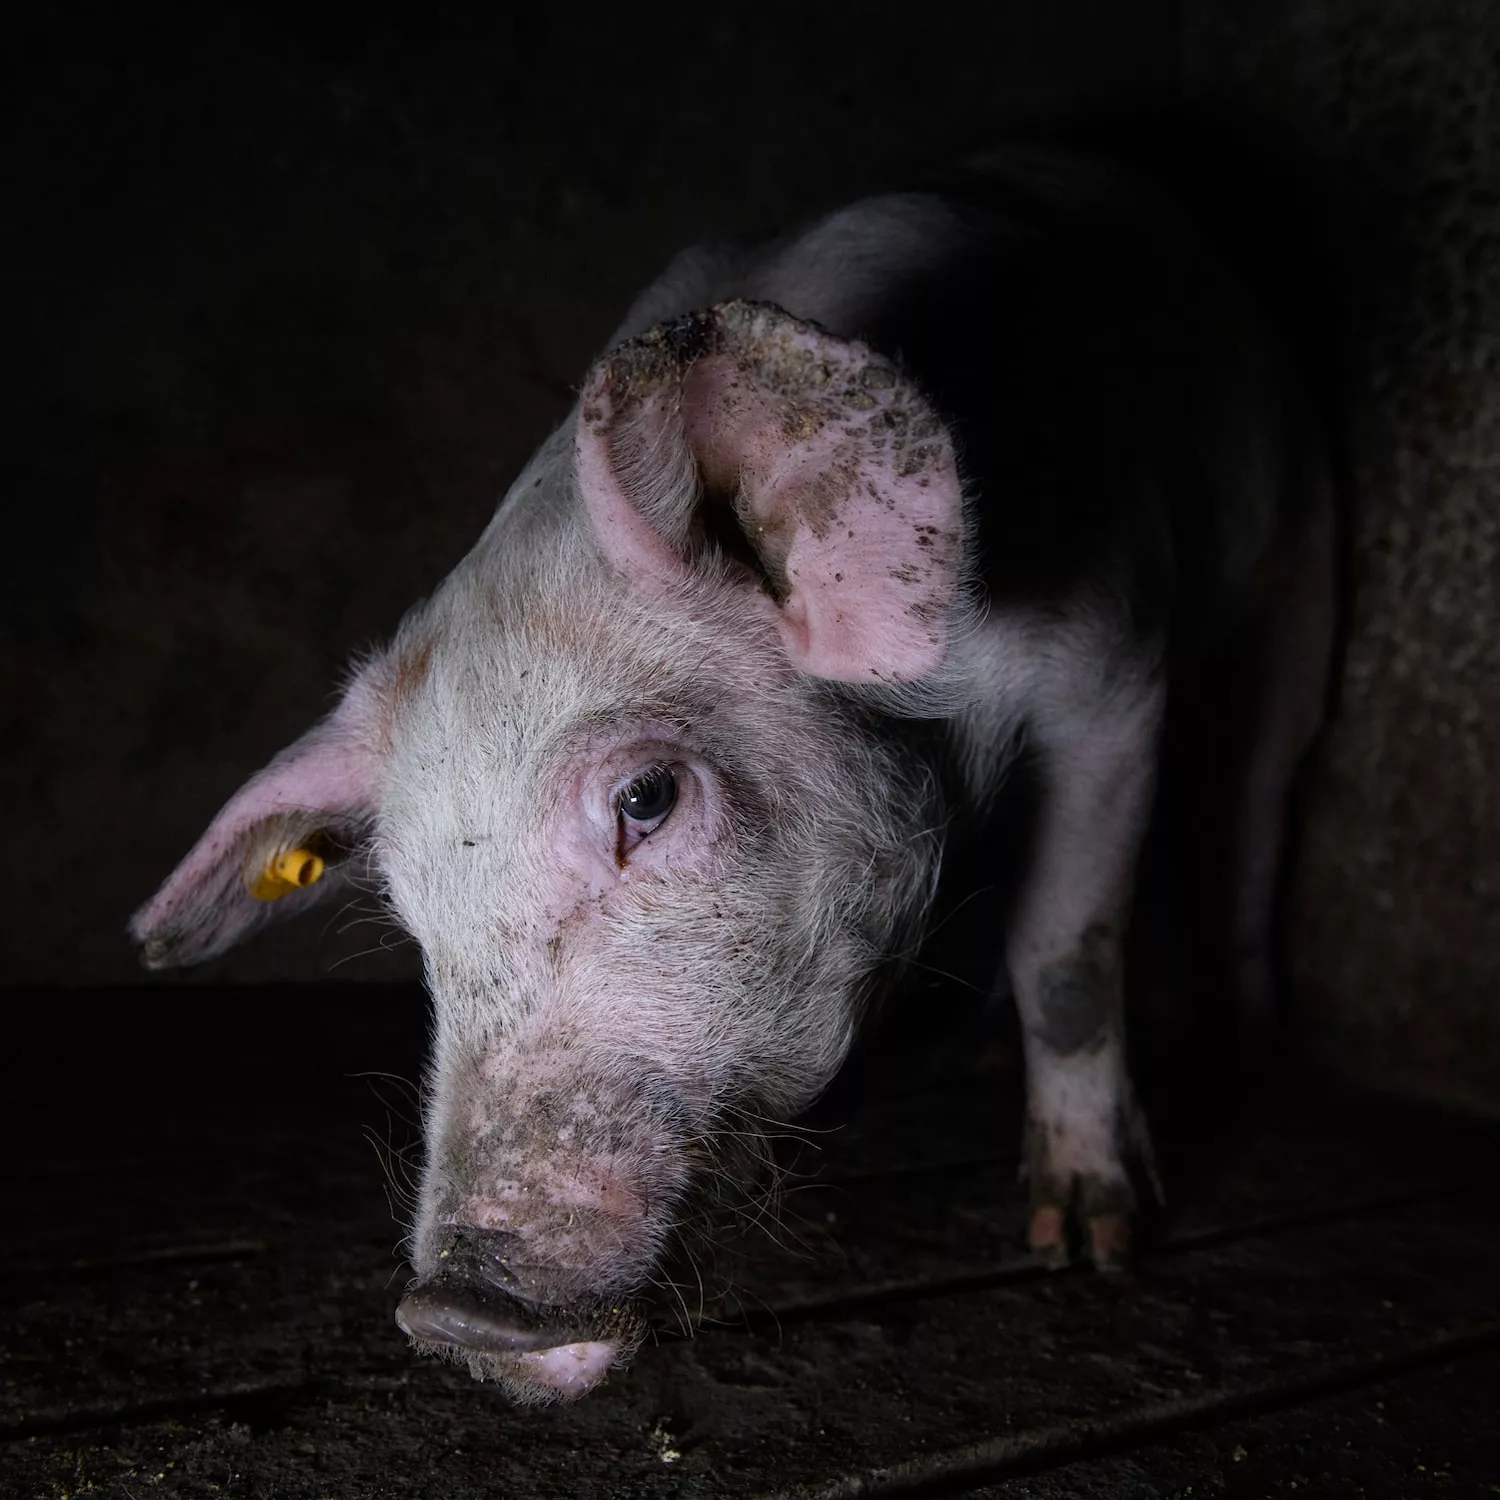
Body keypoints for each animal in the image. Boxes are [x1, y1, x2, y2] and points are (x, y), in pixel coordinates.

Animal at [129, 146, 1332, 1398]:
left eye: (646, 798)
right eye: (408, 899)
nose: (458, 1312)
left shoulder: (1112, 670)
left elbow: (1071, 958)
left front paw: (1086, 1240)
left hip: (1305, 553)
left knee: (1263, 791)